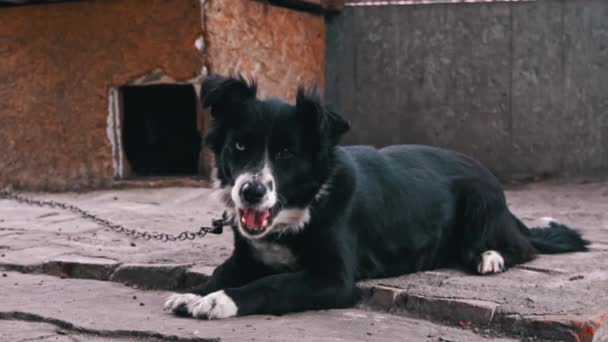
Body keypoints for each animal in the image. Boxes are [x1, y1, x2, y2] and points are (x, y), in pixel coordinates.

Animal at [165, 73, 588, 320]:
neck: (304, 208)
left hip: (479, 202)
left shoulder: (334, 279)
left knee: (522, 247)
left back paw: (490, 257)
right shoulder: (247, 256)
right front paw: (193, 292)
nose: (250, 192)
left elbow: (272, 285)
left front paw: (219, 301)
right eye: (239, 145)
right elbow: (221, 272)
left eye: (286, 153)